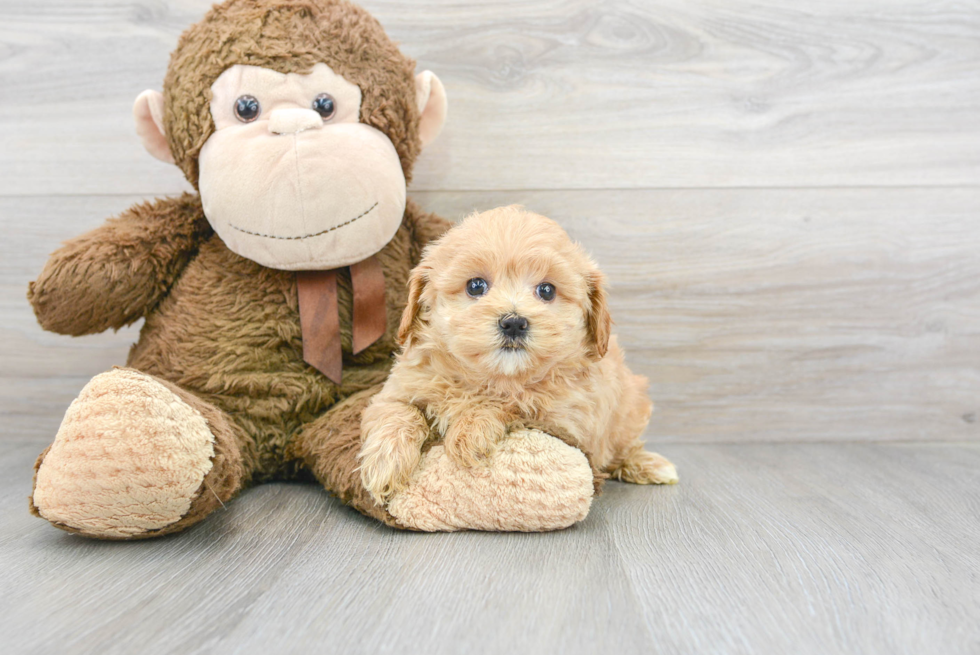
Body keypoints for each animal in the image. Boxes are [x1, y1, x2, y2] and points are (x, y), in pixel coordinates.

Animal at [356, 208, 676, 504]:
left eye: (546, 290)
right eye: (475, 286)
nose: (513, 322)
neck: (496, 377)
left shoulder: (565, 420)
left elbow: (515, 405)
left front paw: (471, 429)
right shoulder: (397, 388)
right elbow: (398, 411)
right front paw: (384, 463)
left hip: (630, 406)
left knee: (624, 446)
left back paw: (649, 465)